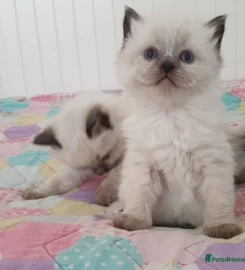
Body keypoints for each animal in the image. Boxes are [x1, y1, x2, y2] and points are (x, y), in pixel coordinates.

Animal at [112, 6, 242, 238]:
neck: (170, 115)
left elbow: (218, 202)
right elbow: (139, 196)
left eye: (186, 57)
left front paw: (221, 228)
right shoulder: (143, 166)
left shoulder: (213, 166)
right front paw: (133, 221)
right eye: (150, 54)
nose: (167, 65)